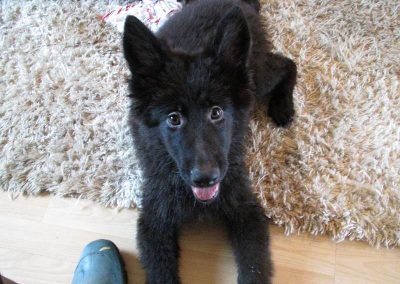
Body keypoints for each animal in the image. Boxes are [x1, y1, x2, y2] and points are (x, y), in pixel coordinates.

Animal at [123, 0, 296, 282]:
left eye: (216, 112)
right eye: (174, 118)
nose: (205, 178)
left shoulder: (246, 209)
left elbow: (254, 266)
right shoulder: (154, 220)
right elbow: (161, 272)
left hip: (255, 77)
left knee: (287, 63)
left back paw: (283, 105)